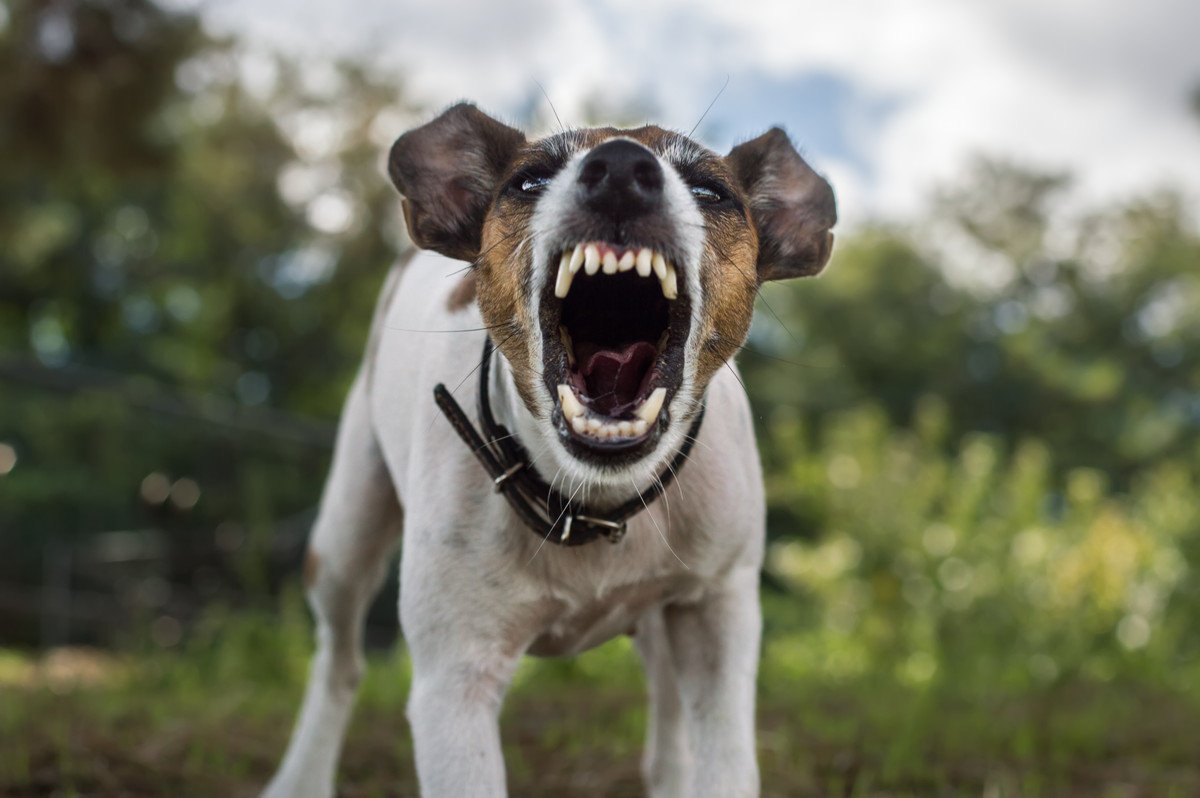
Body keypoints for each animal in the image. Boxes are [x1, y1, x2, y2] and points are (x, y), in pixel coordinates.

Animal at [262, 102, 835, 792]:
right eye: (529, 181)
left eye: (710, 191)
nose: (620, 170)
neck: (595, 502)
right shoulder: (454, 683)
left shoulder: (716, 616)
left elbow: (723, 761)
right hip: (345, 535)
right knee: (339, 662)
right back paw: (300, 777)